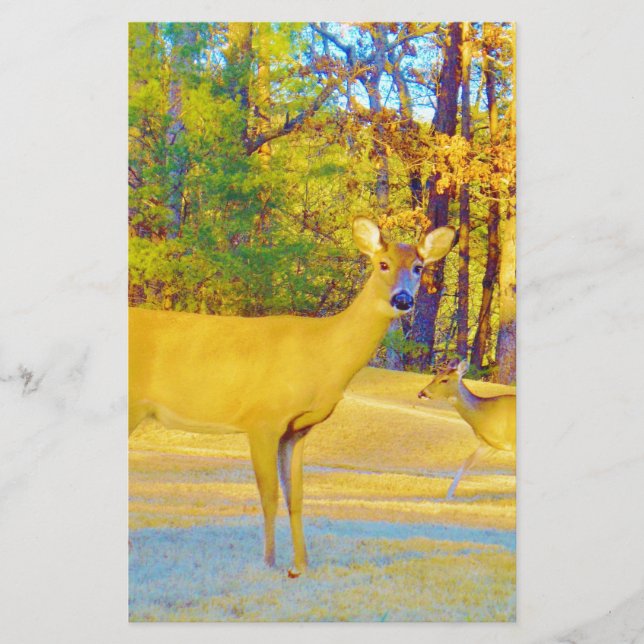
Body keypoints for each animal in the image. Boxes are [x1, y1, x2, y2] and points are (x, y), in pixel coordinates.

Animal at [129, 217, 455, 577]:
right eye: (382, 264)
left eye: (418, 267)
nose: (403, 300)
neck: (323, 355)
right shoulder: (263, 419)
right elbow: (269, 494)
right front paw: (270, 561)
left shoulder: (297, 429)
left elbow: (295, 496)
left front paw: (301, 565)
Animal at [418, 359, 516, 500]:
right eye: (434, 377)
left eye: (444, 380)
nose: (421, 393)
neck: (487, 416)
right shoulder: (488, 445)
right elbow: (465, 465)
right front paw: (448, 497)